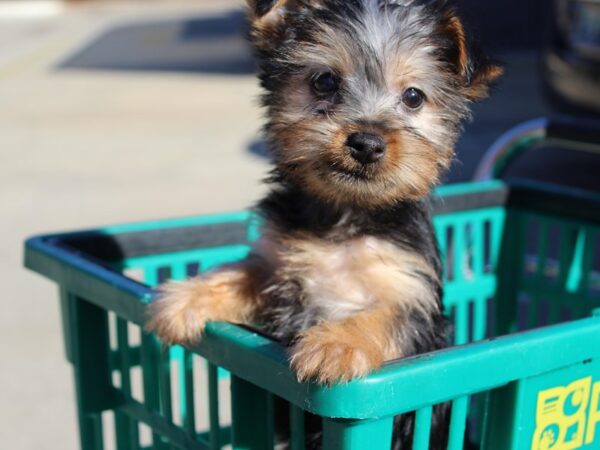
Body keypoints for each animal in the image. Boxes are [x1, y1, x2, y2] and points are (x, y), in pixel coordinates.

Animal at [148, 0, 500, 446]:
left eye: (413, 97)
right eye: (325, 81)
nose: (366, 142)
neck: (344, 215)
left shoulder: (413, 298)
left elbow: (383, 315)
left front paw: (336, 344)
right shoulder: (275, 263)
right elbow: (240, 271)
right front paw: (185, 298)